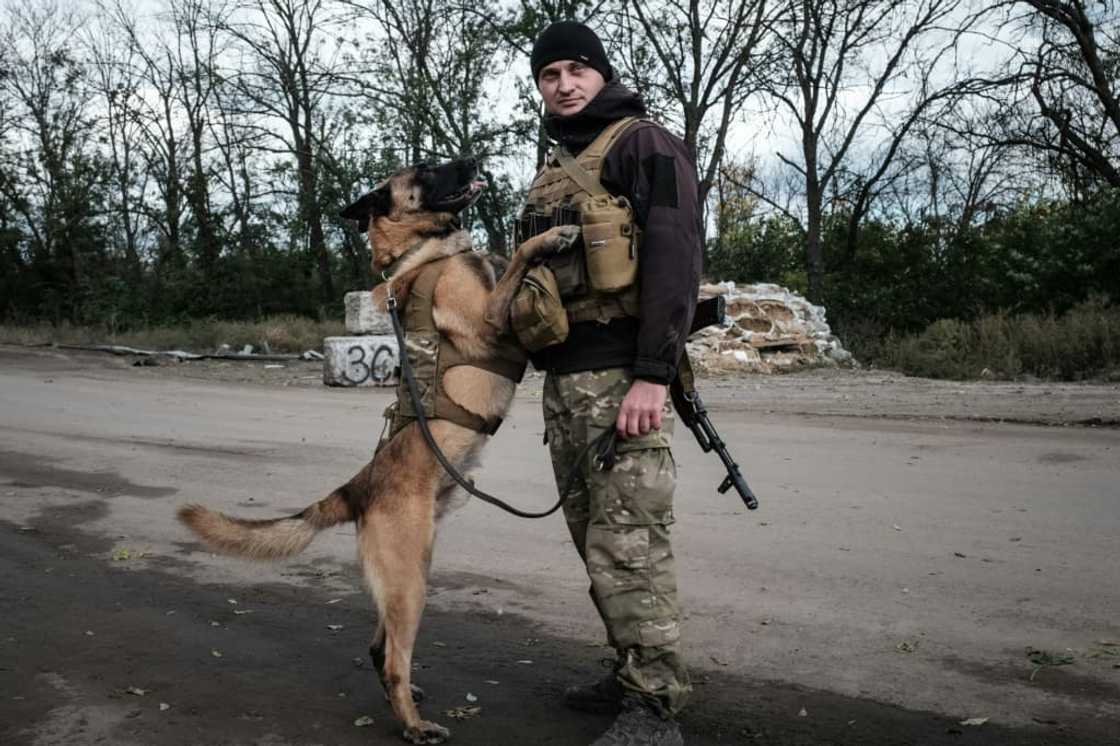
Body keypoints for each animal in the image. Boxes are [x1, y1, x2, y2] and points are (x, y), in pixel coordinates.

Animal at [179, 156, 577, 739]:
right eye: (427, 169)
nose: (473, 160)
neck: (423, 253)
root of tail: (358, 486)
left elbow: (505, 252)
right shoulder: (489, 318)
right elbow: (520, 256)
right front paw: (549, 236)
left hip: (409, 575)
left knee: (378, 645)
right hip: (411, 580)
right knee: (390, 657)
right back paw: (415, 724)